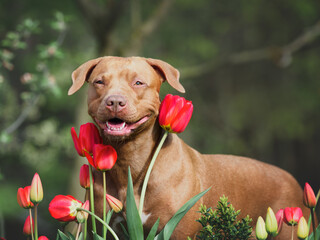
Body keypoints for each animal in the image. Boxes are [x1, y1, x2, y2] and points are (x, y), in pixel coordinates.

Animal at [69, 55, 308, 238]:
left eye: (138, 83)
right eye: (99, 82)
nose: (115, 101)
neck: (129, 161)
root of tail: (293, 179)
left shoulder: (177, 230)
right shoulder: (105, 225)